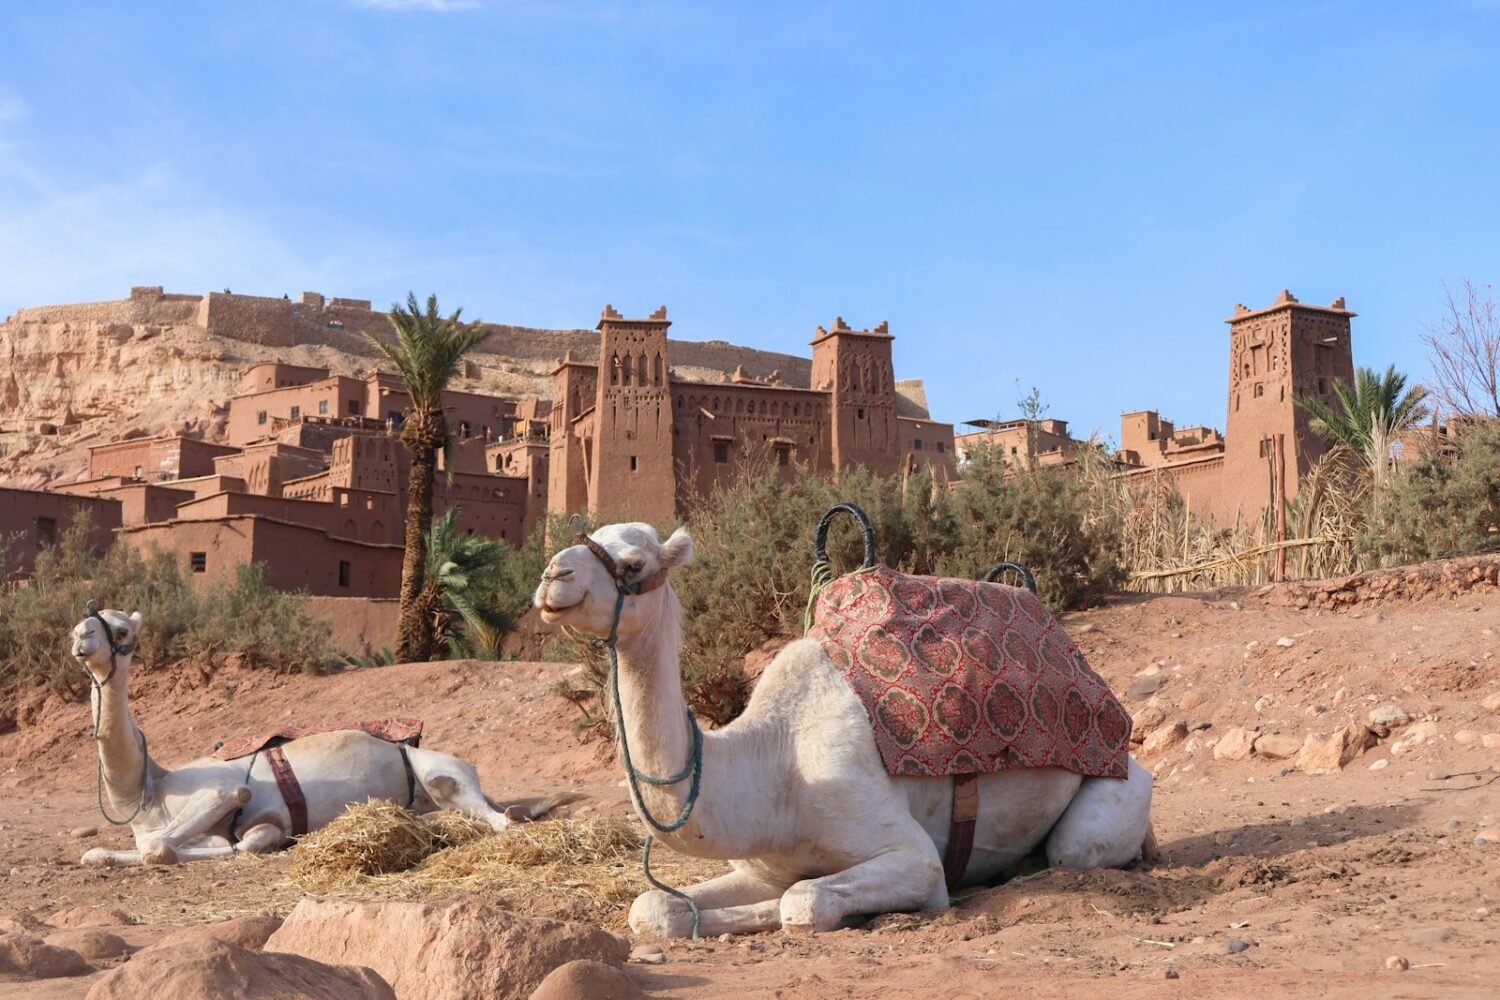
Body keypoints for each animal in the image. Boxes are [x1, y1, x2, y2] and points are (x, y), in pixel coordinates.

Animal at [71, 606, 542, 867]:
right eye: (85, 621)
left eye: (123, 630)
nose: (81, 636)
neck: (147, 791)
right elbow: (107, 852)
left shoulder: (226, 791)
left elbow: (174, 843)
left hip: (441, 772)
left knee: (494, 815)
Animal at [535, 522, 1155, 938]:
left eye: (633, 564)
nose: (551, 577)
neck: (772, 769)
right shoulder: (761, 862)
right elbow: (652, 908)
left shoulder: (912, 855)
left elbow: (801, 902)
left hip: (1109, 797)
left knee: (1077, 848)